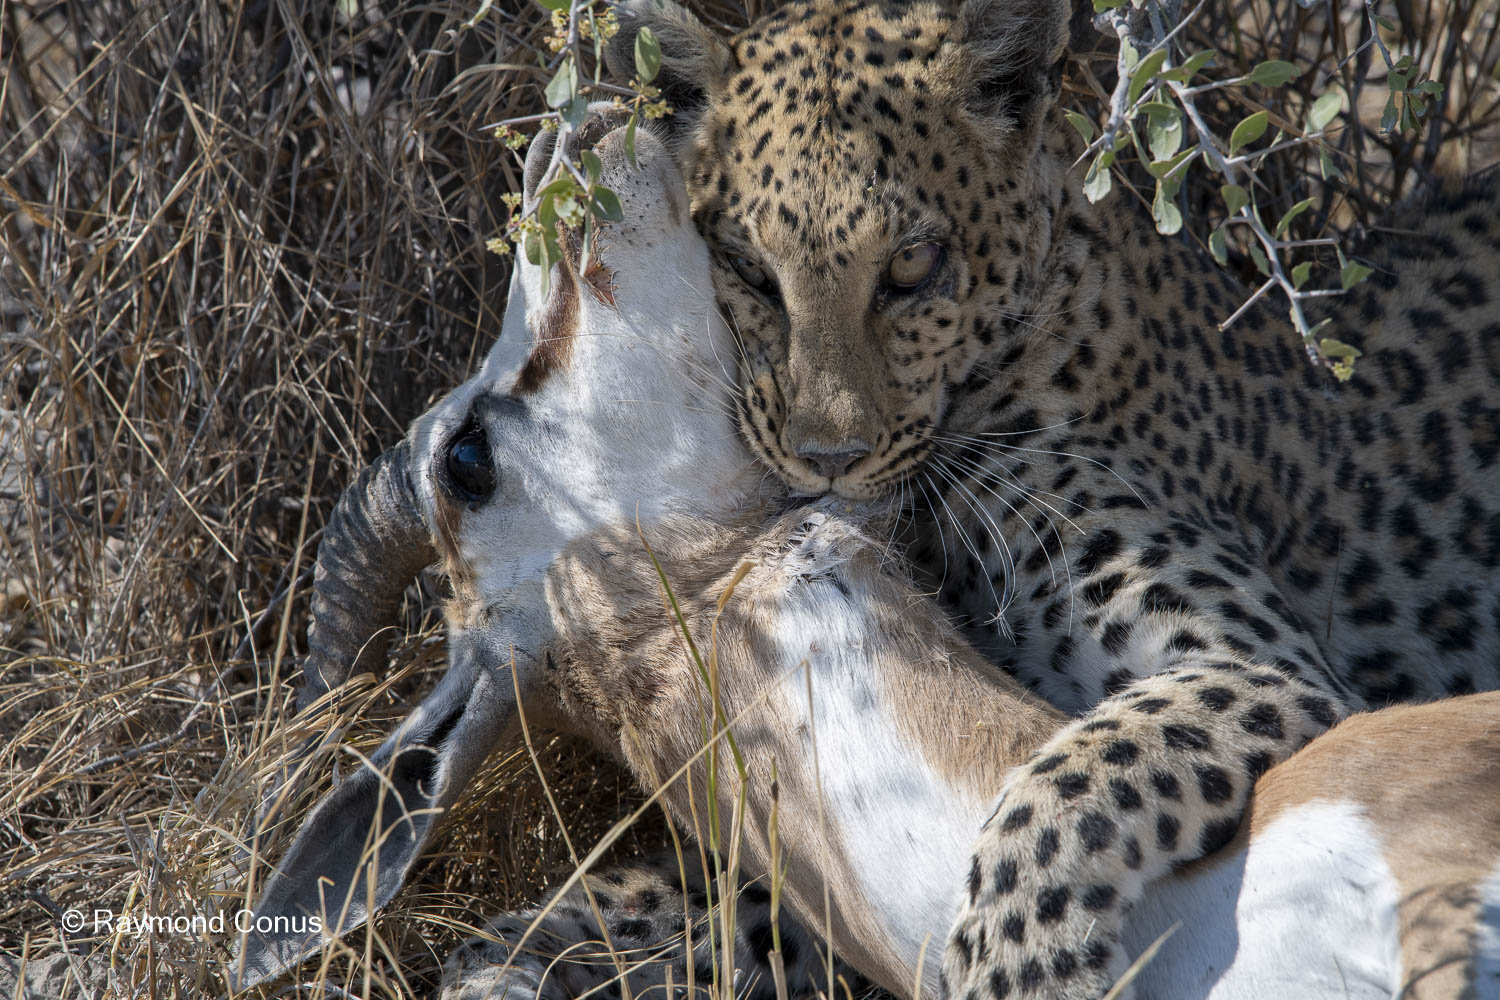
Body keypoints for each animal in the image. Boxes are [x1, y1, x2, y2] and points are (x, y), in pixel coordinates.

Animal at [442, 0, 1500, 997]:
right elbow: (727, 889)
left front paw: (1017, 962)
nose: (828, 458)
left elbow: (1069, 778)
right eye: (746, 267)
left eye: (912, 265)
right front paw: (532, 948)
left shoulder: (1263, 665)